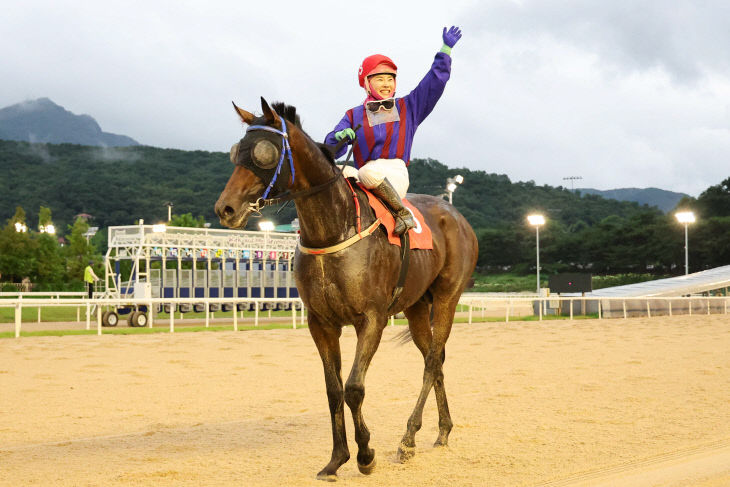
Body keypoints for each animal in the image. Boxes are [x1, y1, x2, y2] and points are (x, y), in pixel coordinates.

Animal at [216, 98, 478, 480]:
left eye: (265, 152)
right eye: (237, 151)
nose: (226, 208)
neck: (331, 230)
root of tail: (454, 214)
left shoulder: (371, 319)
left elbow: (354, 388)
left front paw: (365, 454)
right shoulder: (321, 323)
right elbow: (333, 389)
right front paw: (336, 459)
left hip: (447, 298)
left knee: (431, 361)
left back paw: (407, 439)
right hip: (416, 306)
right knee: (437, 358)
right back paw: (441, 431)